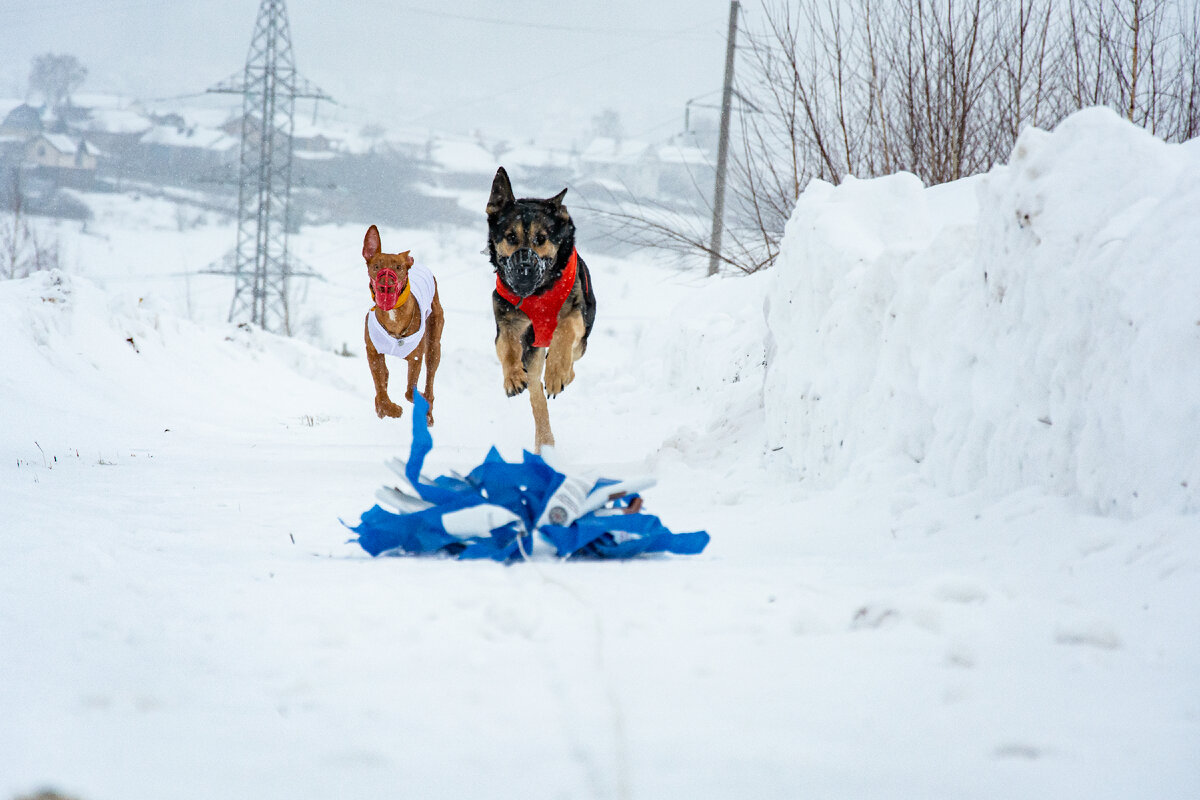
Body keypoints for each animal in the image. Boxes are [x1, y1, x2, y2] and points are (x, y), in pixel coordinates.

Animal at [364, 225, 446, 424]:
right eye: (376, 266)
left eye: (398, 267)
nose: (386, 286)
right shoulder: (373, 352)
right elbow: (380, 388)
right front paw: (389, 409)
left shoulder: (416, 357)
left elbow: (410, 392)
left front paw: (421, 399)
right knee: (385, 377)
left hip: (434, 345)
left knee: (430, 379)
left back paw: (428, 410)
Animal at [484, 167, 597, 450]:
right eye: (511, 237)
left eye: (541, 239)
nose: (524, 269)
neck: (537, 294)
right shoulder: (507, 318)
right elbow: (507, 346)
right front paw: (513, 377)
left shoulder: (575, 313)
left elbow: (564, 329)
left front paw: (557, 372)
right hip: (533, 355)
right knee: (536, 396)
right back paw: (544, 441)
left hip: (582, 342)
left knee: (571, 360)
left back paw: (563, 374)